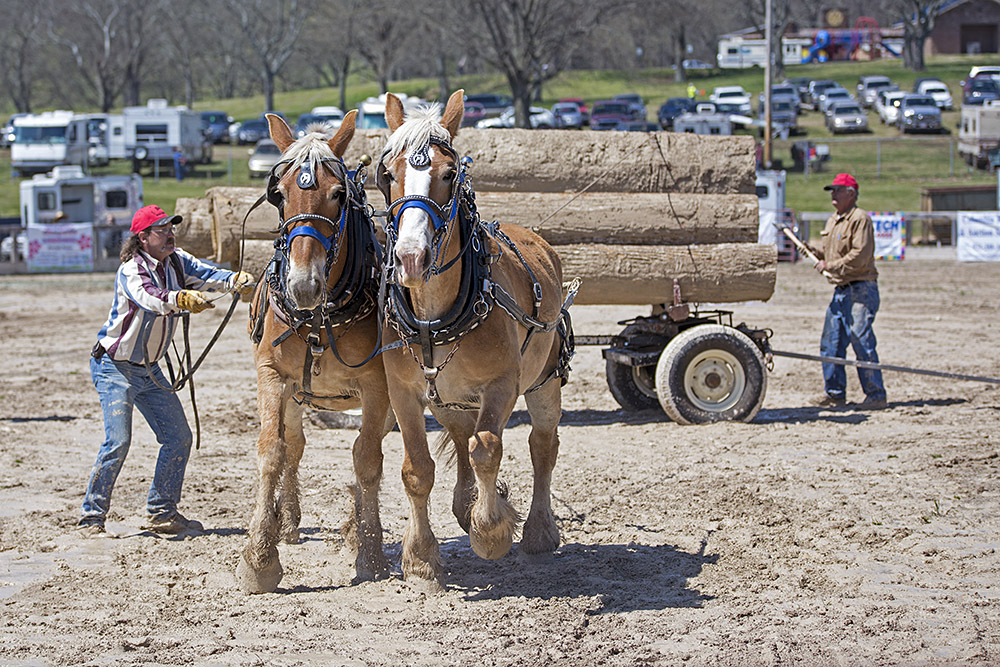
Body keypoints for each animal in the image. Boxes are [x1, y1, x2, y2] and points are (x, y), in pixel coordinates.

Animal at [238, 111, 394, 596]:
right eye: (280, 194)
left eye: (338, 193)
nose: (303, 285)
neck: (318, 315)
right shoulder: (270, 374)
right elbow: (272, 451)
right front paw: (260, 556)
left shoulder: (377, 386)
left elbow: (367, 458)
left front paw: (370, 550)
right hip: (293, 394)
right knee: (294, 445)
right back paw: (285, 522)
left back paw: (355, 527)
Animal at [376, 91, 576, 588]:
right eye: (387, 175)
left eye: (450, 173)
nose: (411, 257)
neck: (433, 318)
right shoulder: (404, 392)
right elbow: (417, 470)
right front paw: (421, 558)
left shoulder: (501, 386)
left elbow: (487, 449)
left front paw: (491, 532)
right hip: (447, 399)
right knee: (461, 438)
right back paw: (468, 506)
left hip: (543, 382)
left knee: (541, 446)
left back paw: (537, 531)